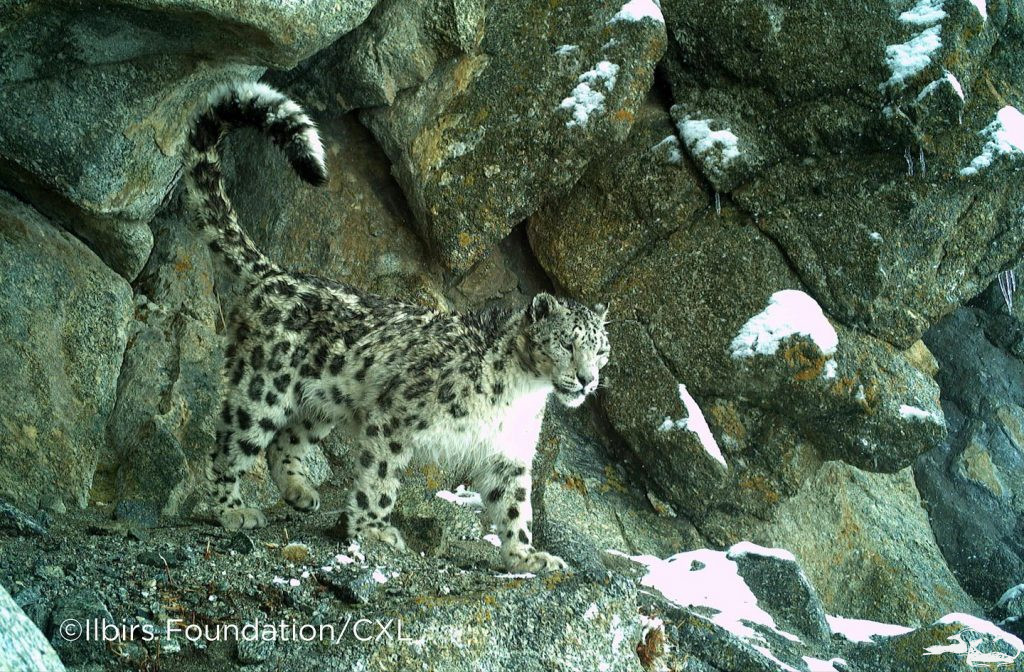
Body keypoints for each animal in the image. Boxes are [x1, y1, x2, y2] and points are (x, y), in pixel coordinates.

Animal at [184, 79, 606, 573]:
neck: (524, 392)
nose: (587, 380)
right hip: (262, 388)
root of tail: (275, 274)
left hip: (322, 404)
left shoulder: (510, 452)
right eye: (565, 343)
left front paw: (526, 556)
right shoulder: (395, 418)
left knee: (282, 442)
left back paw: (300, 492)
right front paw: (373, 530)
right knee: (233, 444)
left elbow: (515, 505)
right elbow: (380, 479)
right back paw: (232, 510)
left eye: (601, 350)